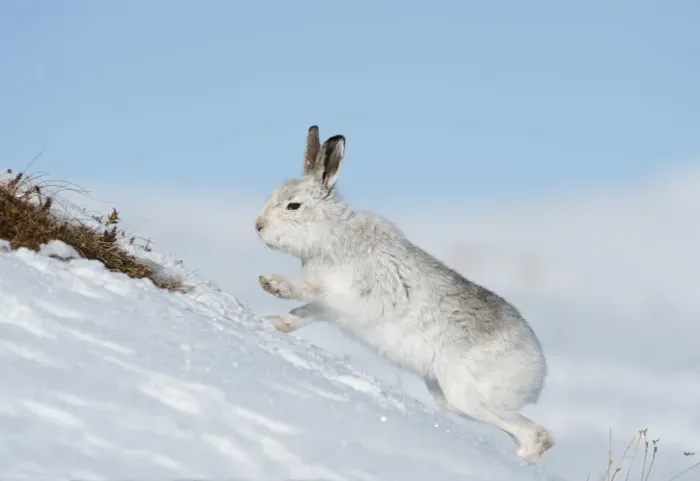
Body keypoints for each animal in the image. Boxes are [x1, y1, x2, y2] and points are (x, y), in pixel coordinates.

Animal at [254, 125, 554, 460]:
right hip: (450, 397)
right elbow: (301, 314)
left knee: (535, 435)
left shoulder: (350, 294)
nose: (258, 226)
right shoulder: (327, 307)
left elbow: (310, 293)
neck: (330, 235)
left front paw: (273, 284)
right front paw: (271, 322)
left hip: (464, 393)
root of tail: (539, 369)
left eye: (293, 205)